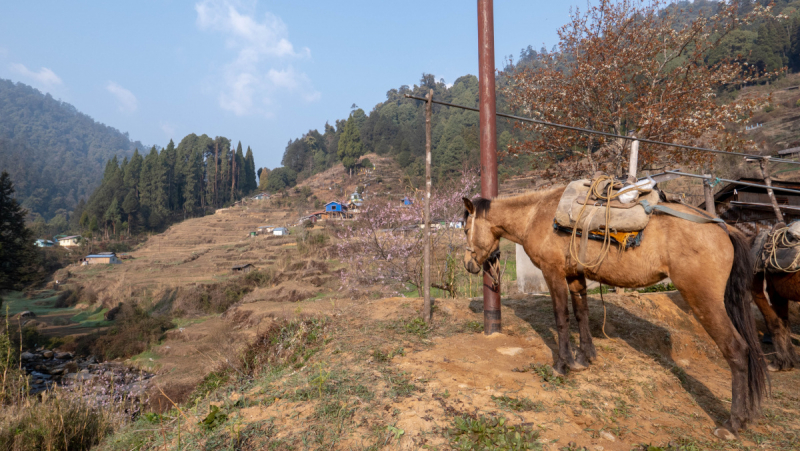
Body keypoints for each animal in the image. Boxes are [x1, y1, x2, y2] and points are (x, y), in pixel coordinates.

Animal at [462, 187, 768, 438]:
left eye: (465, 229)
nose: (468, 264)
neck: (536, 215)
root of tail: (724, 229)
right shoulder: (576, 275)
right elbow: (582, 313)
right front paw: (584, 357)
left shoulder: (553, 273)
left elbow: (561, 317)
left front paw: (562, 365)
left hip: (704, 300)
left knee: (737, 350)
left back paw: (732, 423)